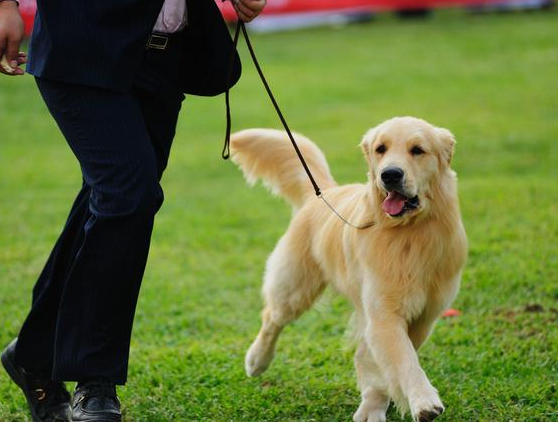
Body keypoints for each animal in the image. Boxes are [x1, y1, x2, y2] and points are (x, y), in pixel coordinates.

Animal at [230, 116, 470, 422]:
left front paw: (376, 405)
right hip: (295, 286)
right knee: (272, 317)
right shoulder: (384, 315)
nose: (390, 175)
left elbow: (389, 363)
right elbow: (405, 361)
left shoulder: (422, 318)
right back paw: (257, 360)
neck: (409, 233)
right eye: (381, 149)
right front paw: (423, 400)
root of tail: (323, 193)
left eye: (417, 150)